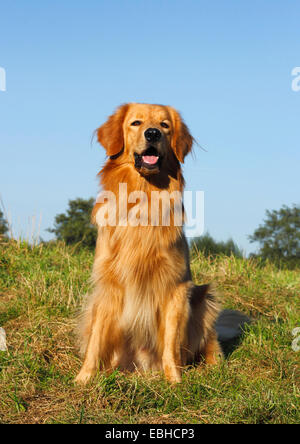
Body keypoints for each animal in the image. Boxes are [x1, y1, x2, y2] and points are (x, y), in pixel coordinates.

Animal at [74, 102, 221, 384]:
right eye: (136, 122)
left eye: (165, 125)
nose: (152, 134)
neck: (143, 196)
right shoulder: (107, 284)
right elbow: (96, 337)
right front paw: (84, 378)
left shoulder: (176, 285)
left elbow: (171, 342)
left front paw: (174, 380)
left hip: (203, 298)